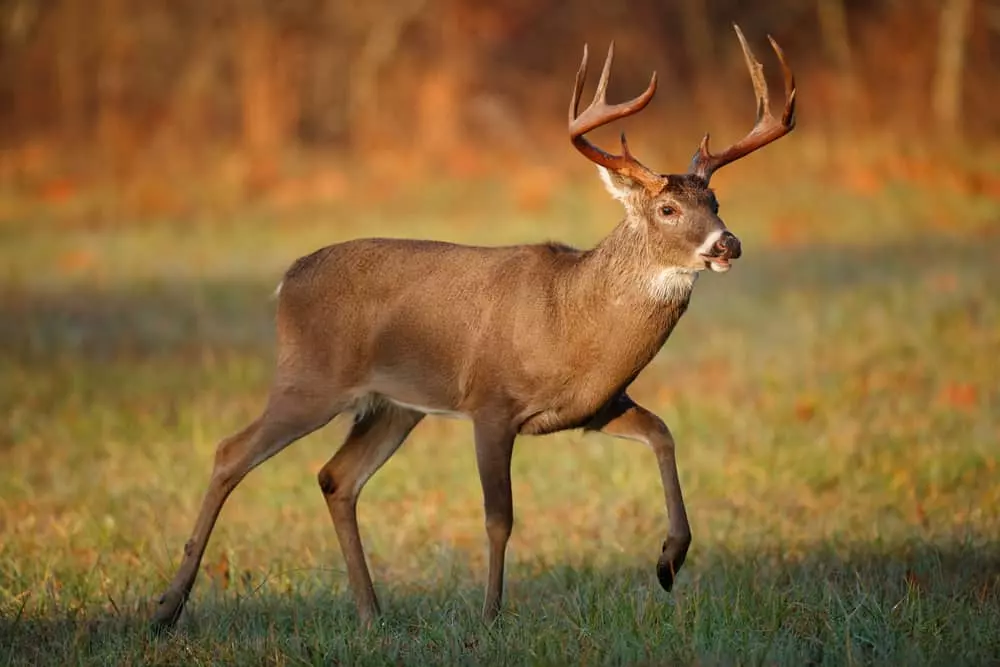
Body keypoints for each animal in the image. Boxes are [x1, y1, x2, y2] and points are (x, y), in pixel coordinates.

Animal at [152, 26, 796, 632]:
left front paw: (669, 561)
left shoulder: (594, 406)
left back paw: (371, 614)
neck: (570, 317)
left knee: (337, 477)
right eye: (667, 209)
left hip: (394, 405)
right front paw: (490, 616)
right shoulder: (491, 403)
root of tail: (286, 281)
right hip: (310, 379)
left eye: (715, 201)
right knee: (231, 452)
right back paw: (166, 609)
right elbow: (498, 517)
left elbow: (663, 433)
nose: (728, 243)